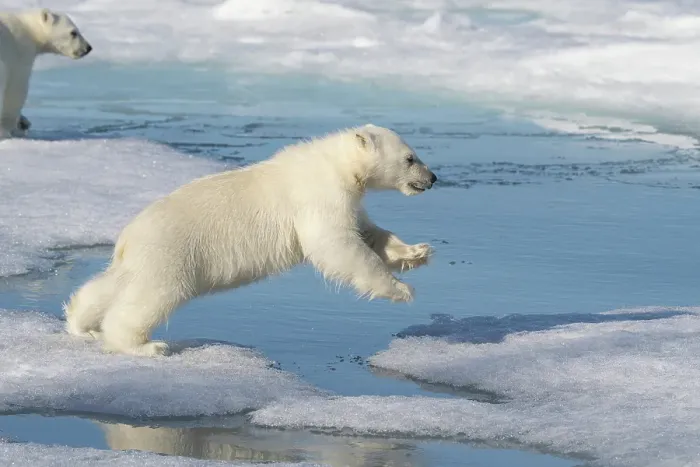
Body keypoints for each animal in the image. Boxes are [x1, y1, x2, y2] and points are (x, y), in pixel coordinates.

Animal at [0, 8, 92, 138]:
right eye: (73, 32)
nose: (88, 48)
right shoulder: (19, 51)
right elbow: (16, 89)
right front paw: (12, 129)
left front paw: (24, 122)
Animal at [64, 124, 438, 357]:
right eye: (410, 158)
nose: (433, 177)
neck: (336, 164)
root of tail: (127, 237)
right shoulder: (319, 195)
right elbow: (336, 245)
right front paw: (401, 289)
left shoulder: (348, 199)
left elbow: (369, 233)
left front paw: (418, 252)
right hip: (171, 254)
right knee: (151, 297)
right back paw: (144, 346)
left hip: (140, 258)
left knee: (109, 286)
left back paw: (81, 324)